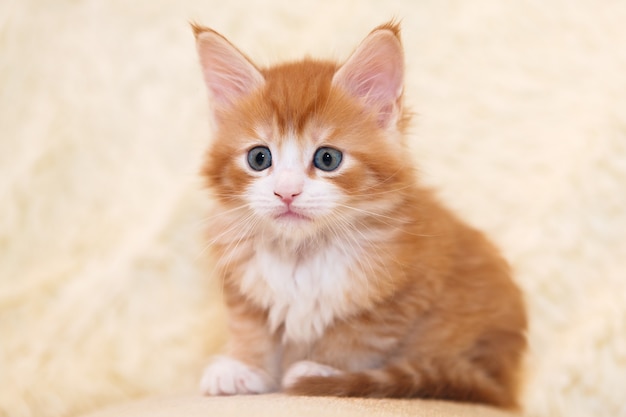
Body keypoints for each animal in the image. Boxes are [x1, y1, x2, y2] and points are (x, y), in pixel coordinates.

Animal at [193, 21, 524, 408]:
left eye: (328, 158)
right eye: (259, 158)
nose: (287, 192)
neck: (302, 252)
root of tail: (505, 382)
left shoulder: (403, 294)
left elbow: (354, 337)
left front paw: (322, 370)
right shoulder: (242, 285)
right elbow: (251, 328)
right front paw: (245, 367)